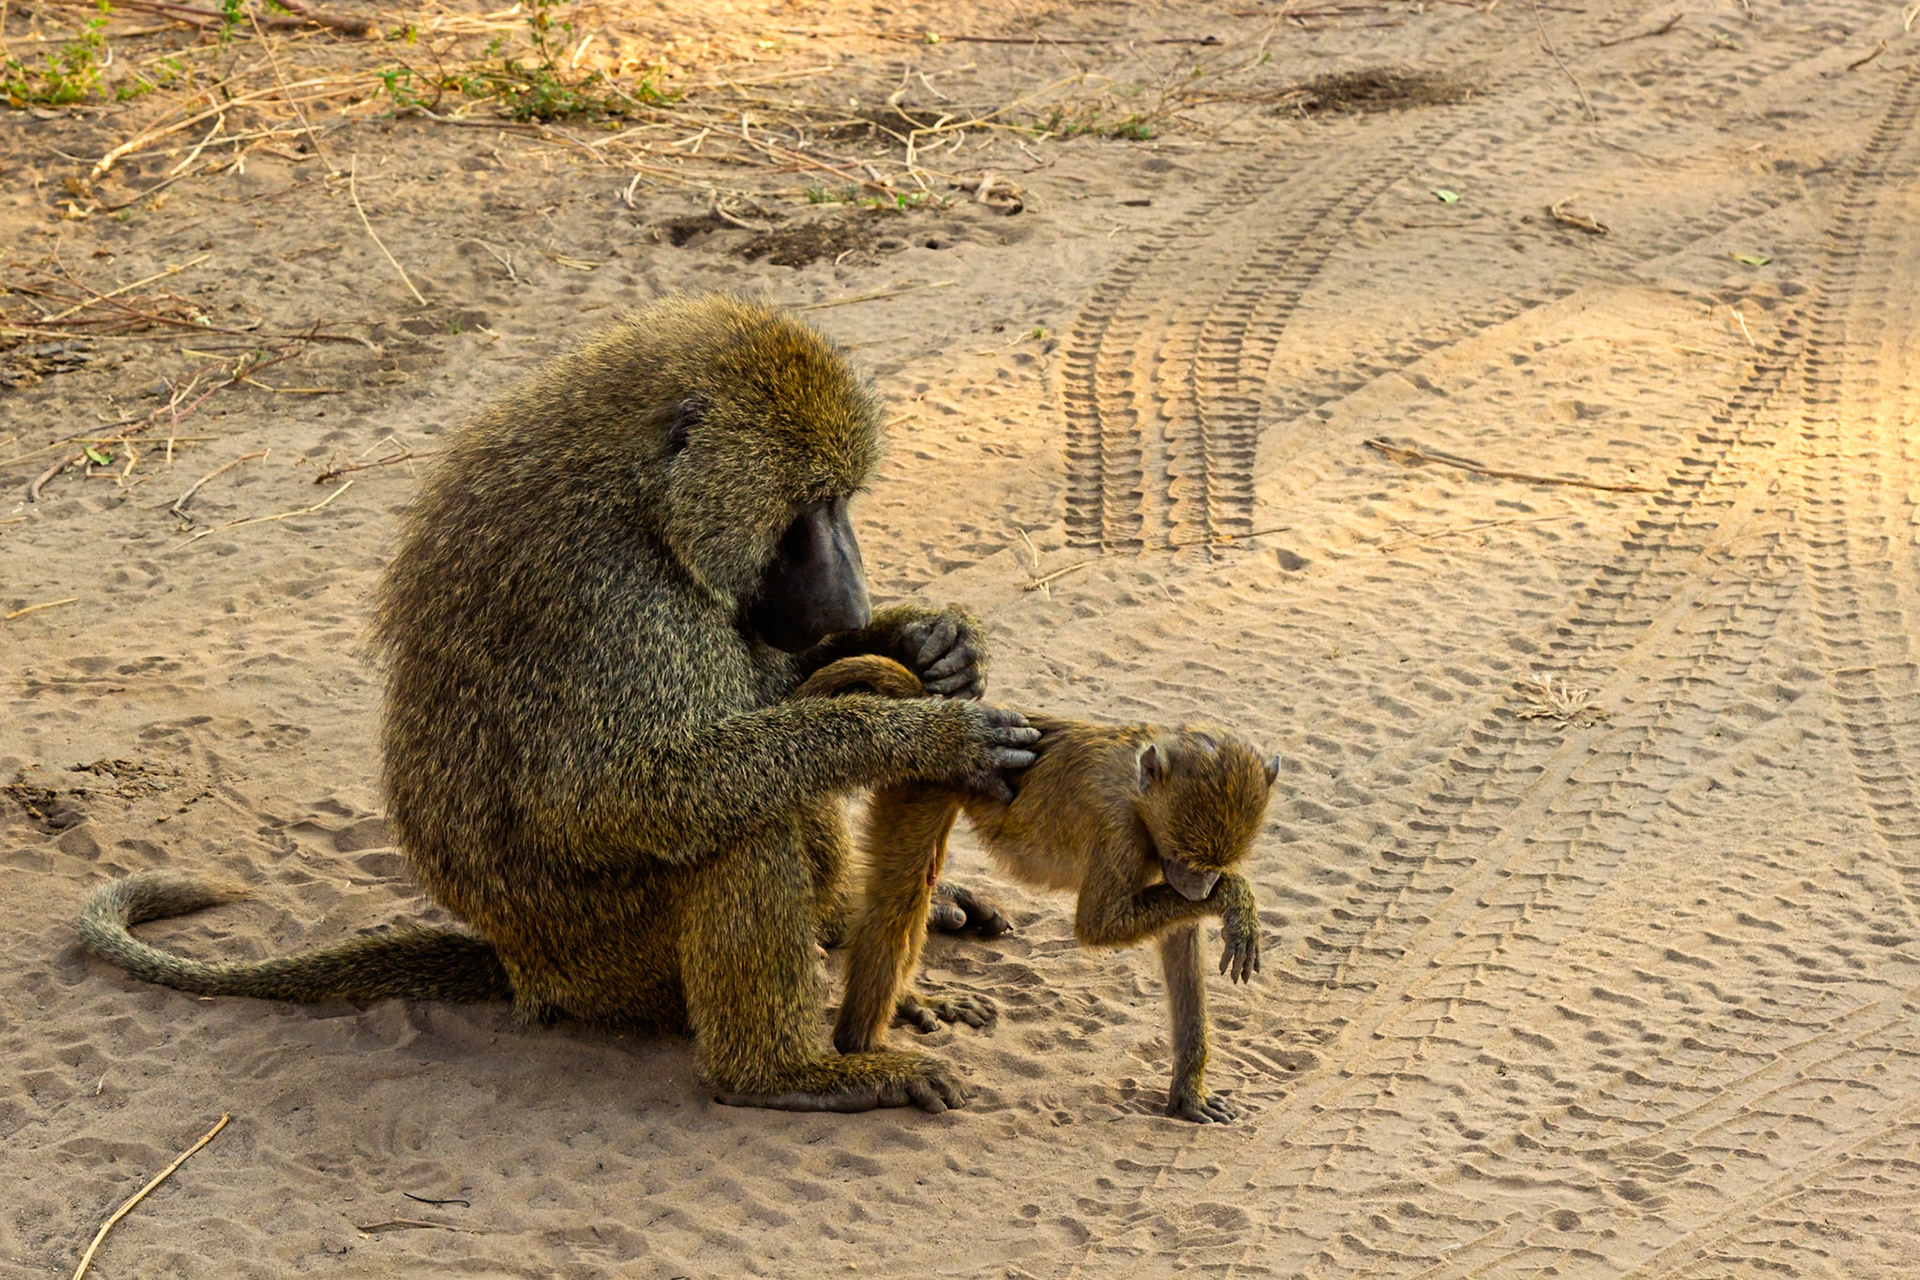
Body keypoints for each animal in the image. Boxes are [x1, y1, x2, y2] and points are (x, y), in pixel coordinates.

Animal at [77, 293, 1042, 1115]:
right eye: (814, 504)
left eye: (843, 499)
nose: (849, 598)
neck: (642, 492)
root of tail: (524, 967)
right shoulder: (615, 596)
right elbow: (615, 794)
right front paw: (925, 736)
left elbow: (763, 689)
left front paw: (930, 642)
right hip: (618, 958)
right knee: (736, 826)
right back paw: (784, 1074)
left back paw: (844, 927)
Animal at [793, 656, 1278, 1123]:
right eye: (1190, 862)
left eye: (1211, 866)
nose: (1200, 889)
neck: (1139, 785)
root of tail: (934, 710)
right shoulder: (1119, 827)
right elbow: (1099, 926)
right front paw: (1235, 901)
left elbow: (1180, 940)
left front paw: (1188, 1095)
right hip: (923, 780)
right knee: (900, 901)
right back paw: (862, 1048)